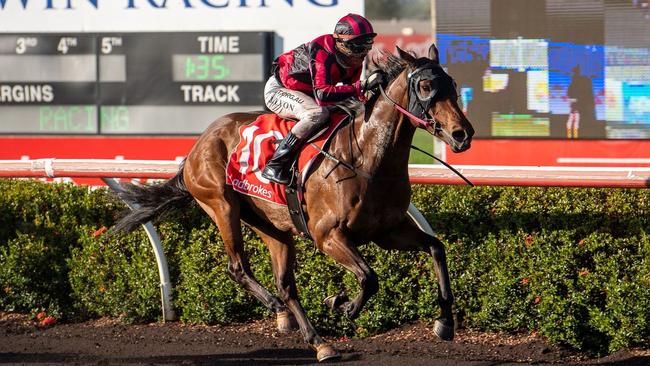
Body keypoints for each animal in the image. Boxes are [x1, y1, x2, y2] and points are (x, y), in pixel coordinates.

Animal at [112, 44, 470, 362]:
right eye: (425, 86)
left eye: (452, 85)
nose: (462, 134)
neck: (366, 157)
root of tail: (196, 147)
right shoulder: (328, 235)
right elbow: (369, 277)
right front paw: (342, 304)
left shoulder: (388, 231)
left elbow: (436, 248)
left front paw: (445, 323)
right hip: (222, 206)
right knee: (238, 267)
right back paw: (277, 309)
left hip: (273, 225)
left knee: (286, 285)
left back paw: (317, 340)